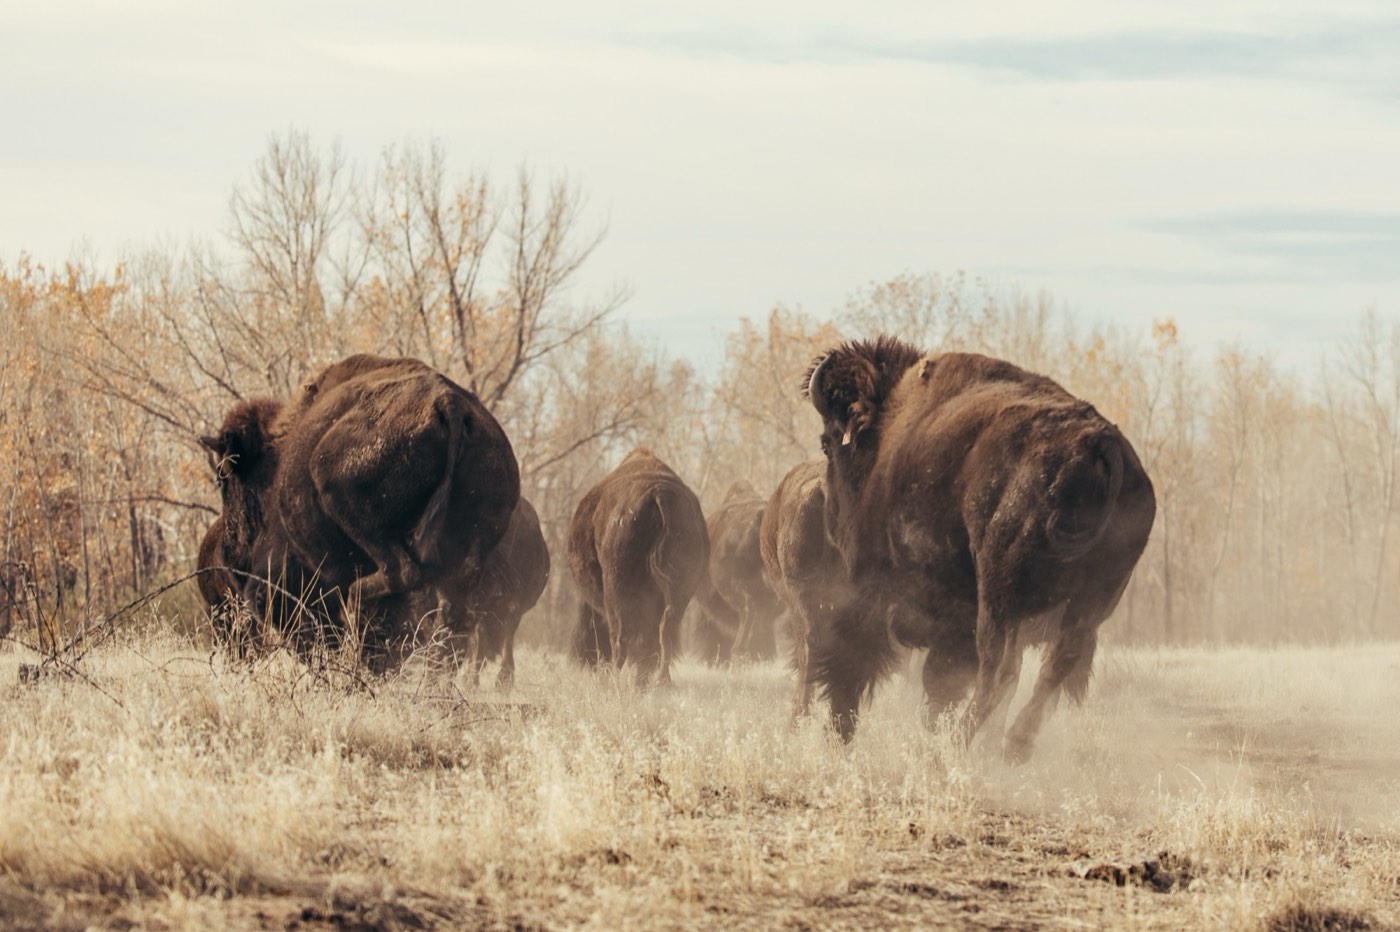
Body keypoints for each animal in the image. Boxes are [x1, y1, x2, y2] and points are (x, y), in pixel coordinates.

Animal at [200, 354, 520, 671]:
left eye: (224, 477)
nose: (228, 556)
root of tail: (449, 403)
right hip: (468, 556)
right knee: (454, 619)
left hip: (338, 493)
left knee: (398, 574)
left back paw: (354, 608)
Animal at [569, 447, 709, 685]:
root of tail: (660, 493)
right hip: (681, 591)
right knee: (666, 630)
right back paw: (661, 681)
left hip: (618, 591)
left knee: (621, 636)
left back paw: (613, 680)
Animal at [805, 337, 1156, 761]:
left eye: (828, 444)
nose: (830, 518)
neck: (888, 429)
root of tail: (1102, 446)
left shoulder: (878, 591)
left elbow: (861, 663)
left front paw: (839, 733)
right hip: (1091, 603)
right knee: (1054, 666)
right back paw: (1013, 747)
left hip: (998, 596)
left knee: (999, 672)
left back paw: (958, 747)